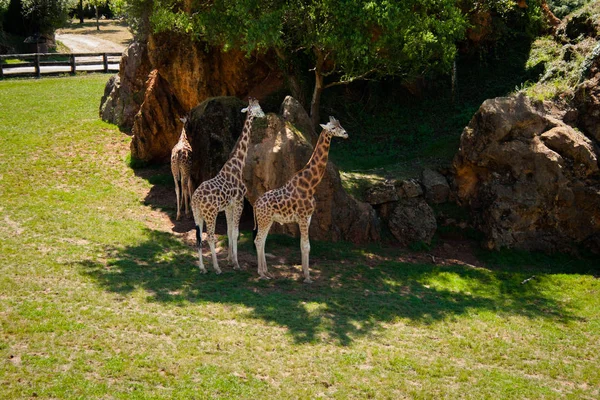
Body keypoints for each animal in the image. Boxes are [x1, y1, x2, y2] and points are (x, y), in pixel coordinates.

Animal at [191, 98, 266, 274]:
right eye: (258, 108)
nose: (264, 114)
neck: (238, 164)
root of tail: (195, 199)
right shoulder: (239, 202)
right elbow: (235, 232)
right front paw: (236, 263)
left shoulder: (228, 206)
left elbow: (229, 231)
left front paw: (231, 259)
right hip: (211, 214)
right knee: (210, 236)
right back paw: (216, 268)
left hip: (197, 214)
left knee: (198, 237)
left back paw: (203, 268)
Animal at [252, 116, 346, 284]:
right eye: (333, 128)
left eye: (340, 124)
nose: (346, 133)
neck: (311, 185)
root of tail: (256, 204)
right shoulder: (302, 217)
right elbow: (307, 246)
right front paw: (308, 277)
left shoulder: (307, 218)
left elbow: (303, 245)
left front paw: (304, 272)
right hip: (264, 219)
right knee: (258, 240)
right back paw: (262, 274)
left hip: (267, 220)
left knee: (262, 241)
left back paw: (267, 272)